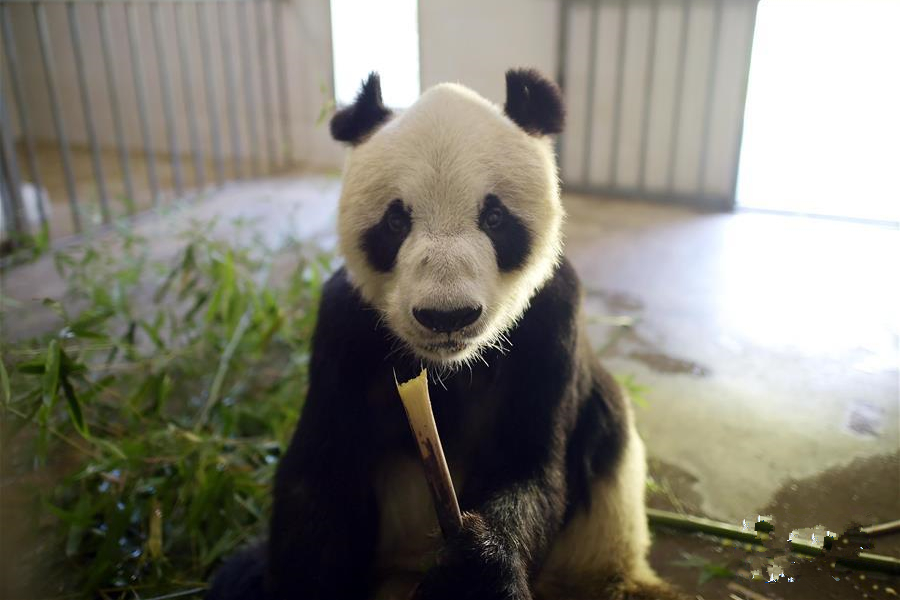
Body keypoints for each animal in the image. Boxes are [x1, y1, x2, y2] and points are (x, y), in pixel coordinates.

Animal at [208, 69, 684, 600]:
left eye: (494, 218)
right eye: (396, 221)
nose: (447, 316)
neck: (446, 368)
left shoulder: (552, 322)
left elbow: (532, 467)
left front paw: (477, 567)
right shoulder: (343, 330)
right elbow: (320, 482)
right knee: (238, 576)